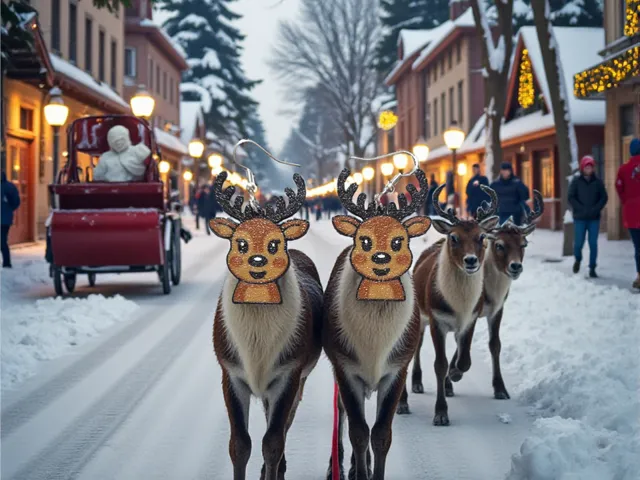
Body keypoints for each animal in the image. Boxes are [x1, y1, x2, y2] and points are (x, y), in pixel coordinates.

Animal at [209, 171, 323, 480]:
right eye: (240, 242)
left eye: (276, 242)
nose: (257, 264)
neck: (256, 349)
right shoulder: (230, 371)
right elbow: (239, 444)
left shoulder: (289, 372)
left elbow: (272, 442)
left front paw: (273, 469)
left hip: (299, 377)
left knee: (284, 425)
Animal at [324, 167, 432, 480]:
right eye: (364, 239)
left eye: (400, 240)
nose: (381, 261)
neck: (374, 346)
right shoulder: (345, 367)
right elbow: (359, 432)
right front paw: (359, 472)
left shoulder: (397, 368)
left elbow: (382, 434)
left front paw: (372, 471)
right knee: (341, 413)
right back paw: (336, 467)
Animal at [396, 183, 500, 426]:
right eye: (454, 237)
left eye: (482, 236)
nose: (470, 260)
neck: (458, 305)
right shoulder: (437, 319)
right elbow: (439, 364)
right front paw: (441, 413)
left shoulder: (470, 319)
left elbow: (465, 360)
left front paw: (455, 375)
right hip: (419, 316)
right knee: (412, 350)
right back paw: (404, 400)